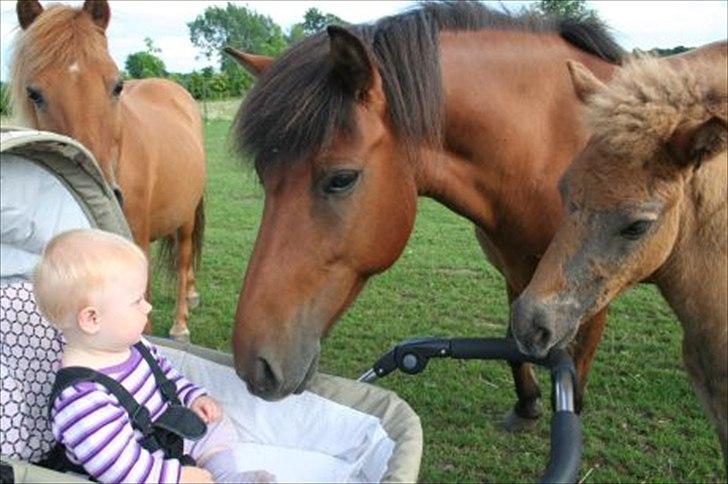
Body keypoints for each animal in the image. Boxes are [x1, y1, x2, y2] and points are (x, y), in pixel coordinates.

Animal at [9, 0, 206, 340]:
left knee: (183, 260)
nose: (105, 192)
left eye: (117, 85)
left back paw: (181, 322)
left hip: (186, 215)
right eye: (33, 93)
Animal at [225, 1, 624, 424]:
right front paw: (526, 402)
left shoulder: (590, 299)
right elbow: (513, 340)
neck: (552, 143)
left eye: (341, 179)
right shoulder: (517, 272)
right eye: (262, 175)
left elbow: (573, 378)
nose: (255, 365)